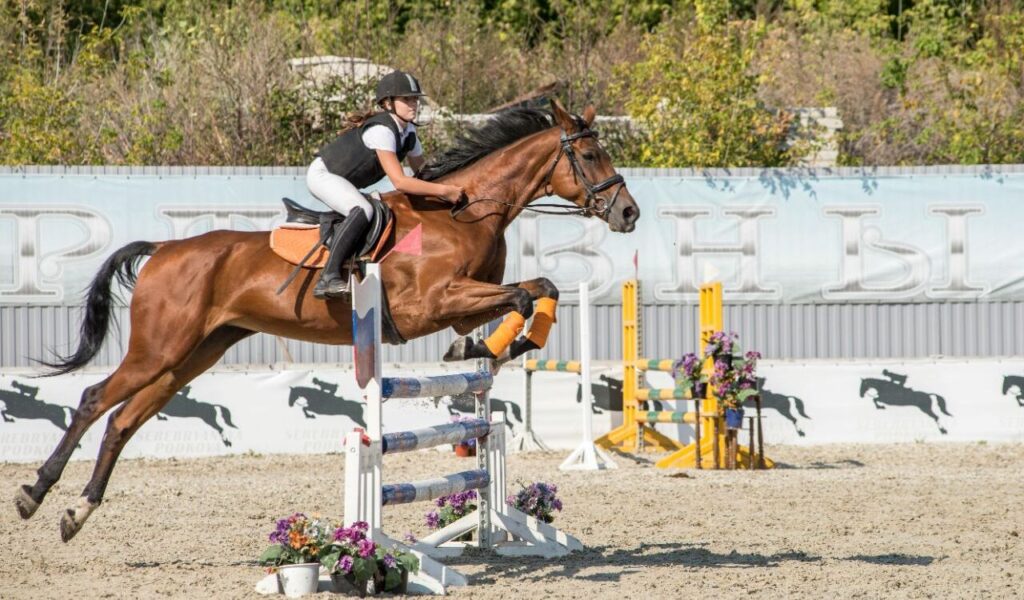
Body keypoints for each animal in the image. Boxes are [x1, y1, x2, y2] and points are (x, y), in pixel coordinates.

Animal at [15, 100, 640, 542]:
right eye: (589, 157)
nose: (629, 213)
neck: (463, 212)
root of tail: (164, 250)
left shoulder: (465, 306)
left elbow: (537, 292)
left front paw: (485, 351)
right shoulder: (432, 303)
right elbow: (525, 295)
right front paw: (496, 347)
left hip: (194, 355)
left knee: (124, 421)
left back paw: (77, 512)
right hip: (159, 348)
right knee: (94, 399)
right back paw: (34, 494)